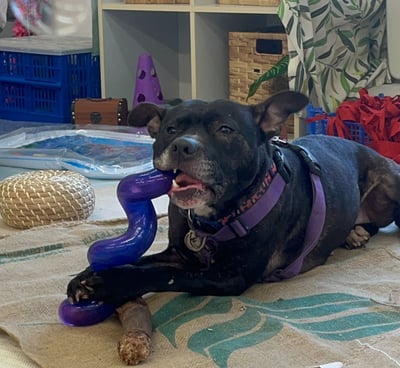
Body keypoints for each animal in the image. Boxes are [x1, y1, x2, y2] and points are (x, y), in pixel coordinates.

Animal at [67, 91, 400, 304]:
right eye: (170, 129)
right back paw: (354, 232)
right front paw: (88, 274)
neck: (214, 218)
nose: (182, 145)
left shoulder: (230, 276)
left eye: (225, 129)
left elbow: (163, 274)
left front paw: (111, 282)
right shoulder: (179, 253)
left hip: (390, 187)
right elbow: (144, 260)